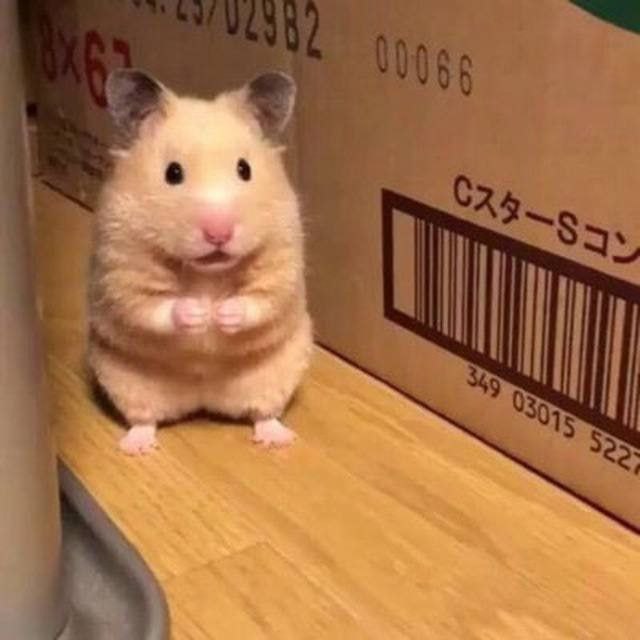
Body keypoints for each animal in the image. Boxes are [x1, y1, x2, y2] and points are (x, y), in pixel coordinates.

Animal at [87, 69, 312, 455]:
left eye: (244, 169)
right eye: (173, 173)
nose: (219, 233)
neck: (207, 272)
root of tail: (203, 400)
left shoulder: (282, 261)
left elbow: (262, 299)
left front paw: (220, 315)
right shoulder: (121, 269)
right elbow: (151, 307)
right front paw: (199, 313)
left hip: (278, 373)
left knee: (264, 412)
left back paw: (277, 439)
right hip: (124, 380)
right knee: (144, 419)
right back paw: (137, 446)